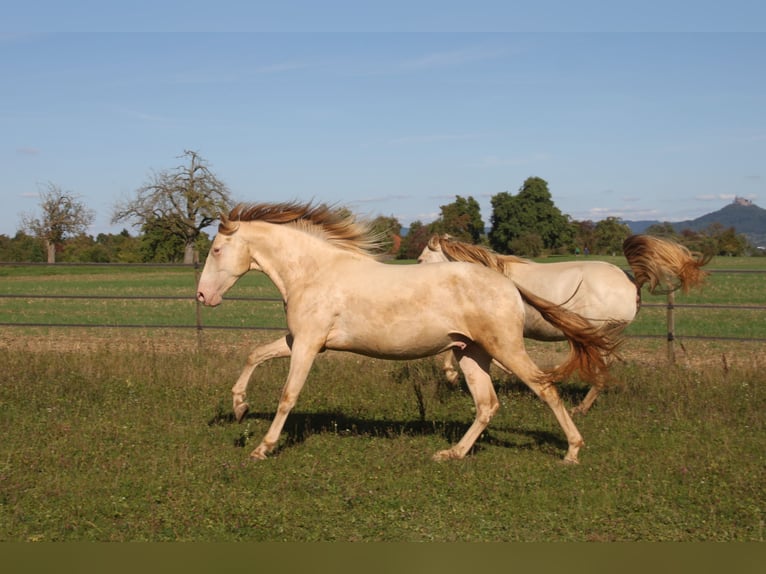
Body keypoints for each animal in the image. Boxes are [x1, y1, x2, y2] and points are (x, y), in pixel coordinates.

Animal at [196, 201, 621, 464]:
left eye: (216, 249)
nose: (202, 296)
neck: (314, 272)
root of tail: (509, 284)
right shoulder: (299, 341)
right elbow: (254, 355)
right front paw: (240, 408)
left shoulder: (308, 345)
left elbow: (288, 396)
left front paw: (262, 448)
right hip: (470, 352)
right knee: (487, 404)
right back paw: (452, 454)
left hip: (505, 349)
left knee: (544, 389)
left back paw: (572, 451)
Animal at [417, 233, 710, 414]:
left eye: (420, 260)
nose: (416, 268)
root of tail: (631, 283)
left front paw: (452, 375)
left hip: (598, 332)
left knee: (599, 371)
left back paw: (577, 405)